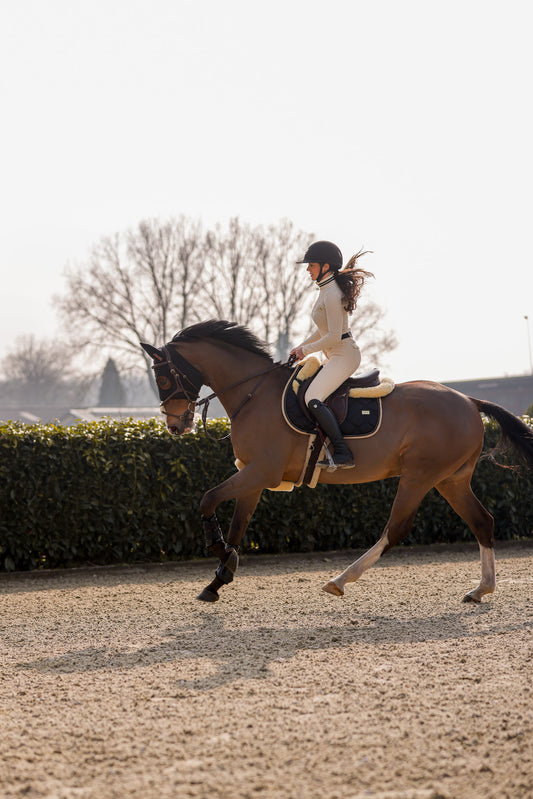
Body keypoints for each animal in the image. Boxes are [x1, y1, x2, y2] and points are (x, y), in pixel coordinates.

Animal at [140, 322, 532, 604]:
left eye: (163, 377)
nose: (175, 426)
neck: (254, 393)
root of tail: (468, 399)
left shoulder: (259, 472)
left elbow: (207, 499)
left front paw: (221, 557)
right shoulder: (251, 475)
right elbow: (238, 524)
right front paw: (219, 578)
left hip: (420, 476)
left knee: (395, 529)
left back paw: (340, 580)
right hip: (450, 480)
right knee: (482, 521)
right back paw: (480, 589)